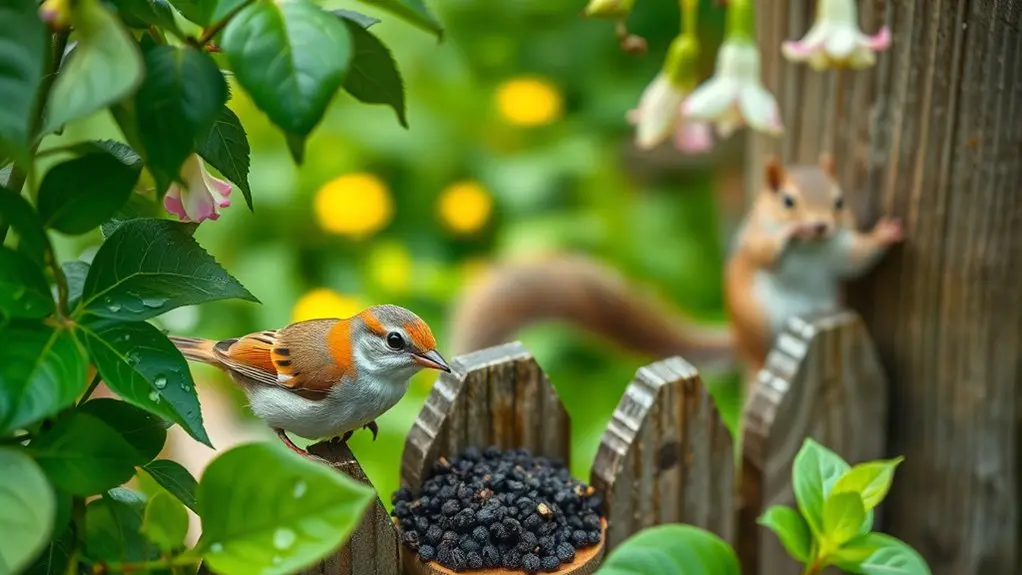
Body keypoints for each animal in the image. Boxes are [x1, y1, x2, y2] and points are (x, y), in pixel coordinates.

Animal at [447, 154, 903, 381]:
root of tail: (738, 339)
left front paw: (887, 233)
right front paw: (790, 234)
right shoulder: (754, 239)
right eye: (788, 201)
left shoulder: (841, 247)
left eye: (840, 201)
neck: (816, 250)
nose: (821, 224)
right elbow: (764, 252)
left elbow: (858, 259)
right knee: (758, 358)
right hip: (757, 320)